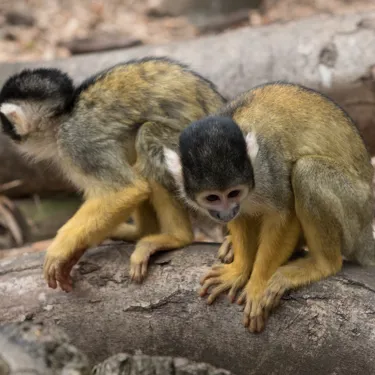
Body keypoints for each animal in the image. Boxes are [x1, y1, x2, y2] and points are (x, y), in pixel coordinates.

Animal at [0, 57, 226, 294]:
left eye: (6, 122)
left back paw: (176, 237)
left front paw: (61, 249)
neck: (64, 118)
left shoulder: (77, 142)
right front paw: (75, 251)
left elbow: (127, 190)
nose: (7, 133)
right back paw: (142, 232)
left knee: (147, 135)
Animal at [165, 83, 375, 334]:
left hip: (355, 210)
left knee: (307, 171)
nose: (226, 212)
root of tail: (367, 227)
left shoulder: (268, 167)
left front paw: (257, 284)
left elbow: (283, 215)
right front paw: (238, 270)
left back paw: (323, 264)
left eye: (233, 193)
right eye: (212, 198)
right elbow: (242, 218)